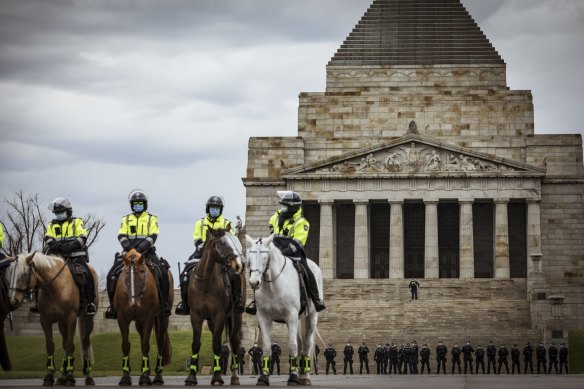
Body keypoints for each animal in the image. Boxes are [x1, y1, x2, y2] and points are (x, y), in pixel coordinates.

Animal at [6, 252, 97, 384]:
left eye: (25, 274)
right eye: (10, 275)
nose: (13, 300)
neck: (55, 287)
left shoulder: (71, 318)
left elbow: (70, 345)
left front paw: (70, 376)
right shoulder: (45, 320)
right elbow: (50, 346)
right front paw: (49, 376)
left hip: (88, 318)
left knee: (85, 342)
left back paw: (87, 376)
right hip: (61, 323)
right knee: (64, 343)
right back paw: (62, 375)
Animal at [113, 249, 173, 384]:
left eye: (141, 272)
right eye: (125, 273)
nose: (134, 304)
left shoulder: (148, 317)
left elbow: (145, 344)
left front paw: (145, 376)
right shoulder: (122, 318)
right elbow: (126, 345)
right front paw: (126, 376)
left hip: (162, 318)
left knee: (160, 341)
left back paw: (157, 375)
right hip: (139, 322)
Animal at [185, 227, 244, 384]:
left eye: (234, 241)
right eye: (222, 244)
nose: (239, 265)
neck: (206, 282)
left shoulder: (219, 315)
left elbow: (217, 344)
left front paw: (217, 377)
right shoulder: (196, 315)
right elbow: (196, 344)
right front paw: (191, 377)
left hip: (236, 316)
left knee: (234, 341)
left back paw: (235, 376)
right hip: (211, 321)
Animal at [244, 233, 322, 384]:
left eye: (265, 256)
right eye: (249, 256)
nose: (254, 282)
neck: (273, 286)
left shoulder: (291, 315)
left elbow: (292, 345)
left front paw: (293, 377)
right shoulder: (263, 317)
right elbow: (266, 346)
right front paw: (264, 377)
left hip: (311, 317)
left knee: (307, 343)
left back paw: (305, 377)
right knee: (300, 342)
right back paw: (300, 374)